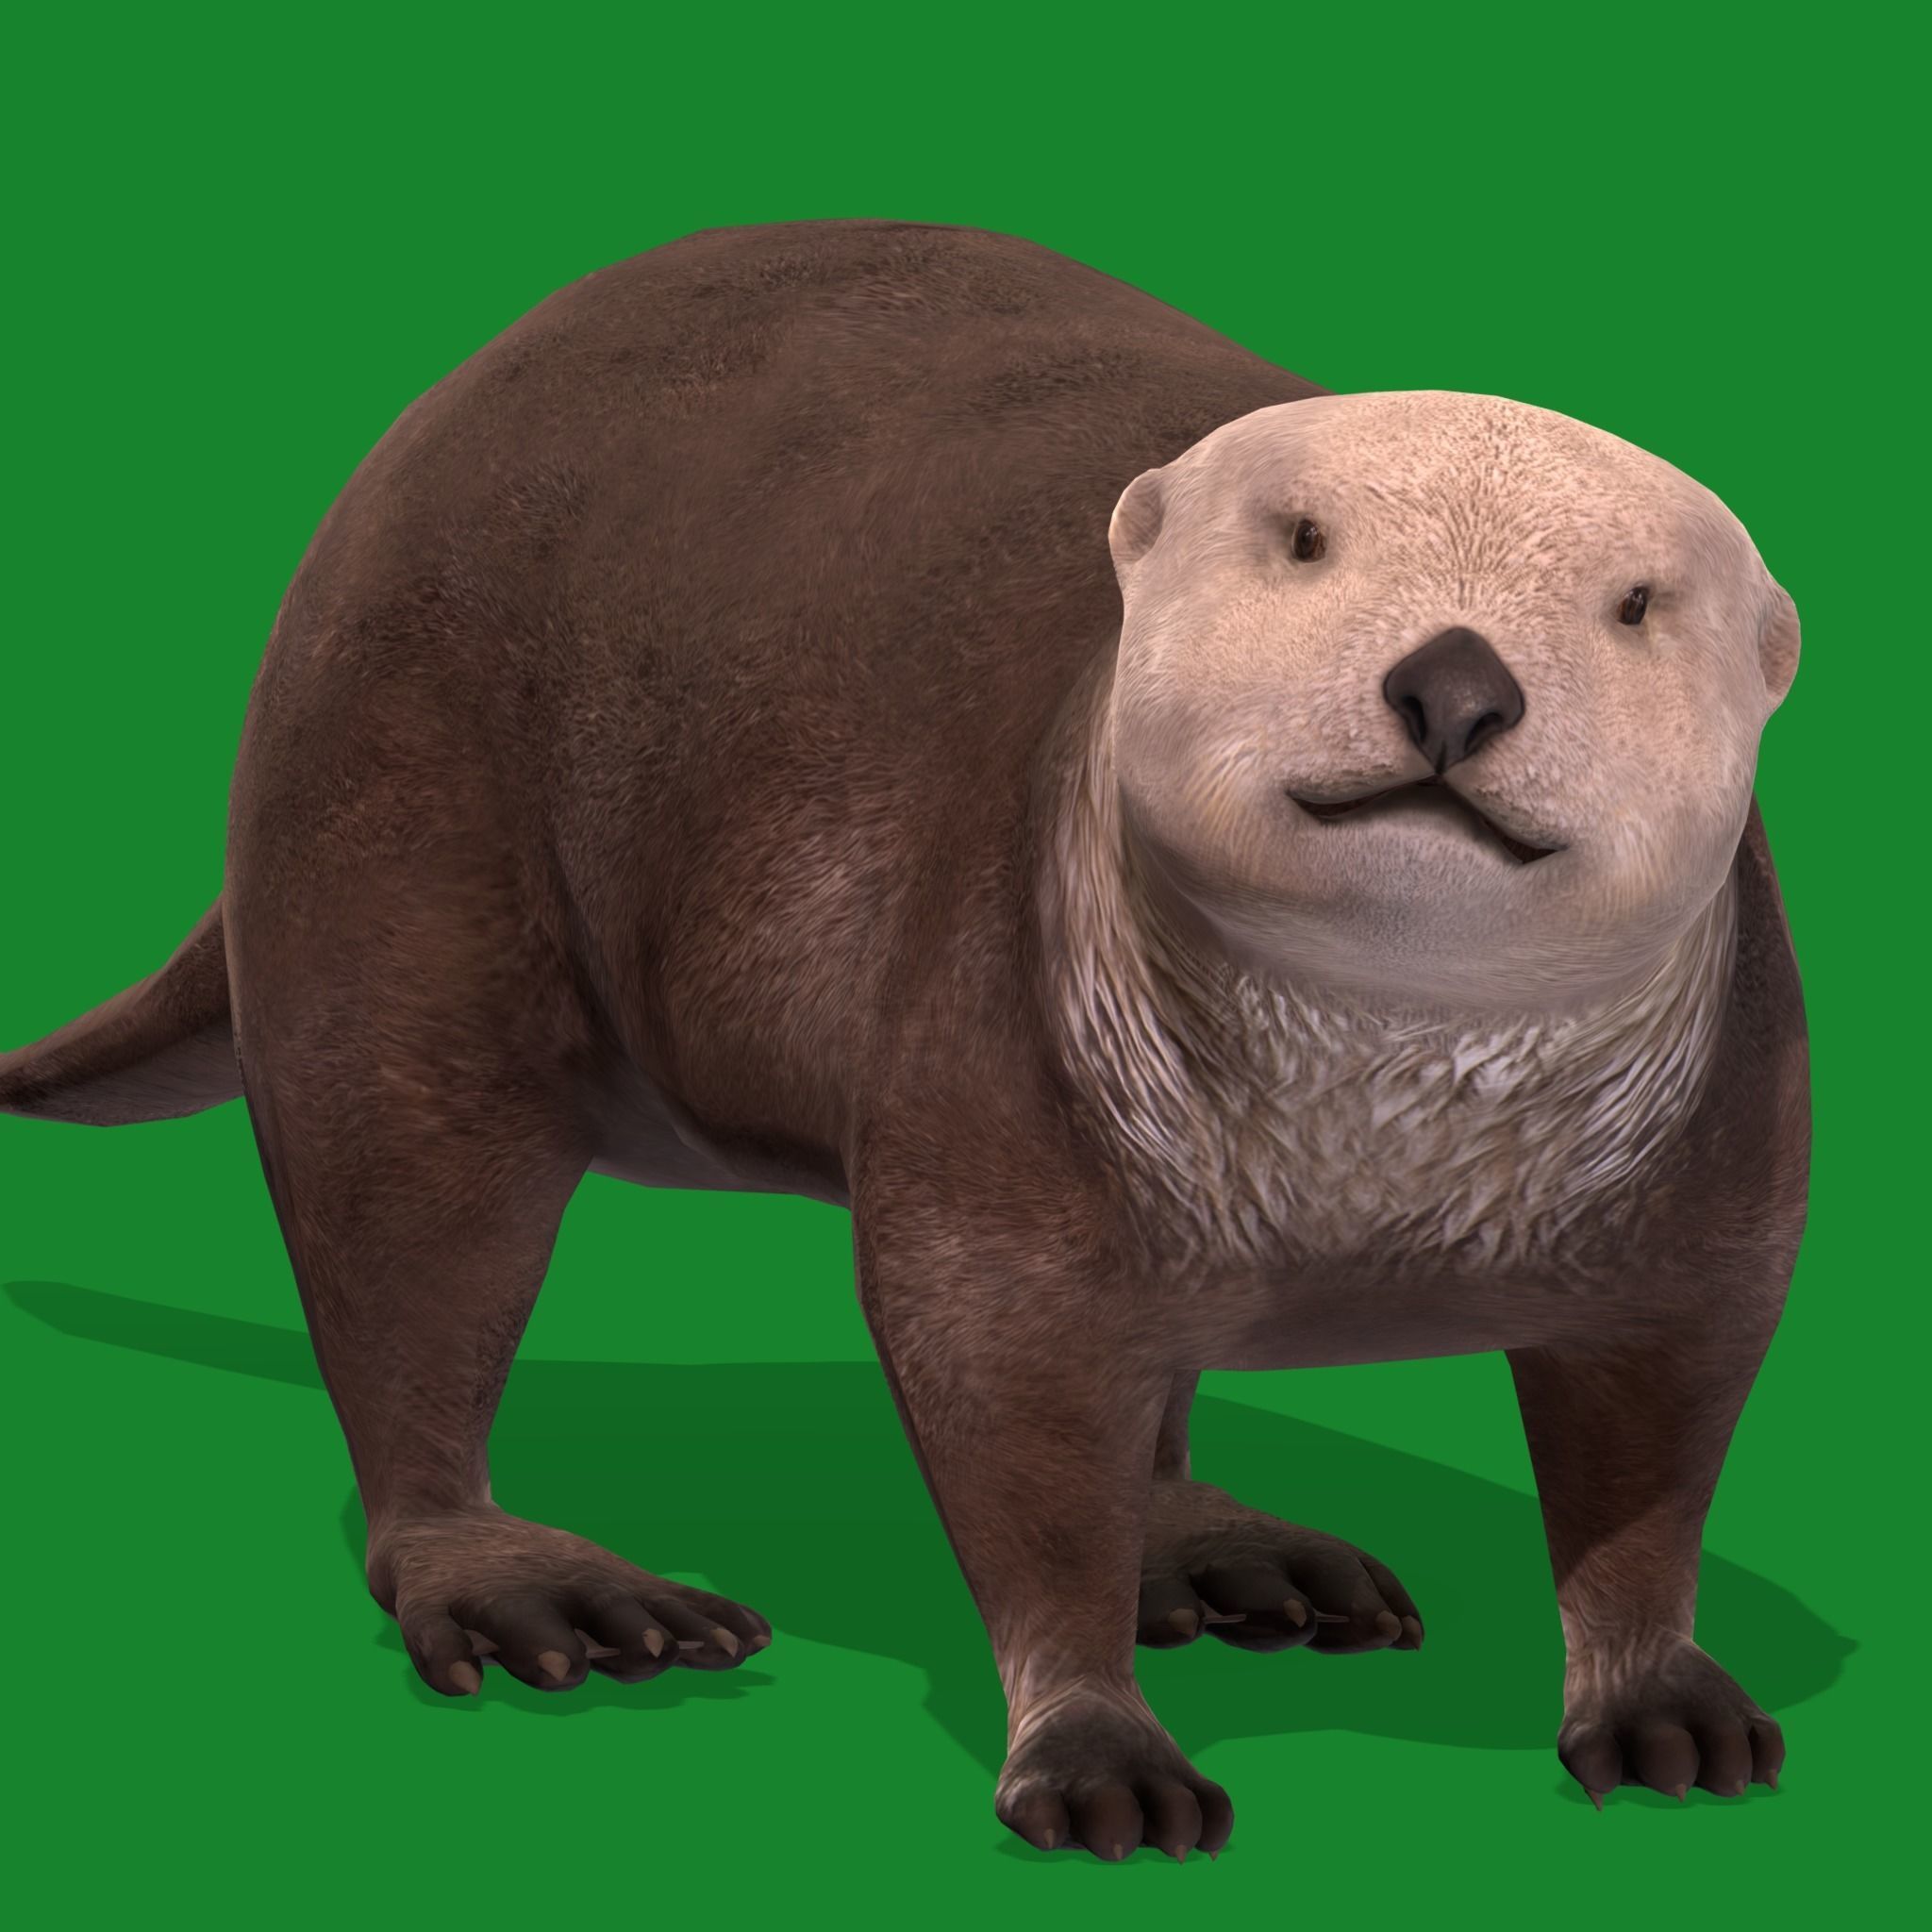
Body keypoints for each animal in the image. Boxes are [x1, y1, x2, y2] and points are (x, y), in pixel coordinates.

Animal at [0, 219, 1808, 1862]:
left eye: (1636, 604)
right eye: (1302, 539)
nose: (1453, 678)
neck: (1367, 1168)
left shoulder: (1718, 1153)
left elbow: (1660, 1438)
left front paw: (1661, 1700)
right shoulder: (997, 1058)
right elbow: (1002, 1399)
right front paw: (1094, 1752)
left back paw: (1214, 1544)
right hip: (391, 812)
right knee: (402, 1232)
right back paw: (540, 1589)